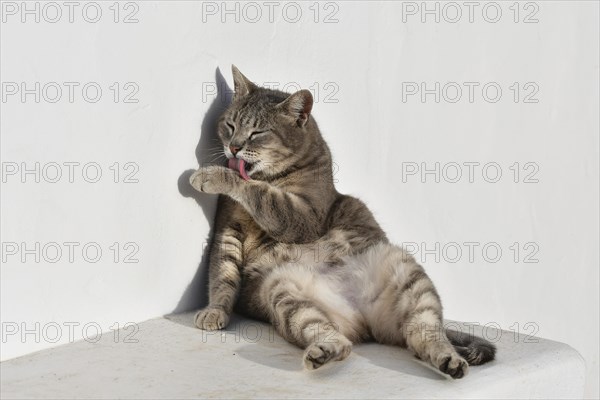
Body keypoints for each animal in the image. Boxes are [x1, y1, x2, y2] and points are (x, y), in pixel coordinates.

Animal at [190, 66, 494, 378]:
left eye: (257, 132)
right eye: (230, 125)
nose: (233, 147)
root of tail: (364, 320)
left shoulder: (302, 215)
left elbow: (258, 191)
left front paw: (211, 175)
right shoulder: (228, 229)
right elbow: (222, 275)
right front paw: (216, 310)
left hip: (410, 276)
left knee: (425, 333)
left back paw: (449, 359)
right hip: (285, 295)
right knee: (336, 339)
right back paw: (324, 351)